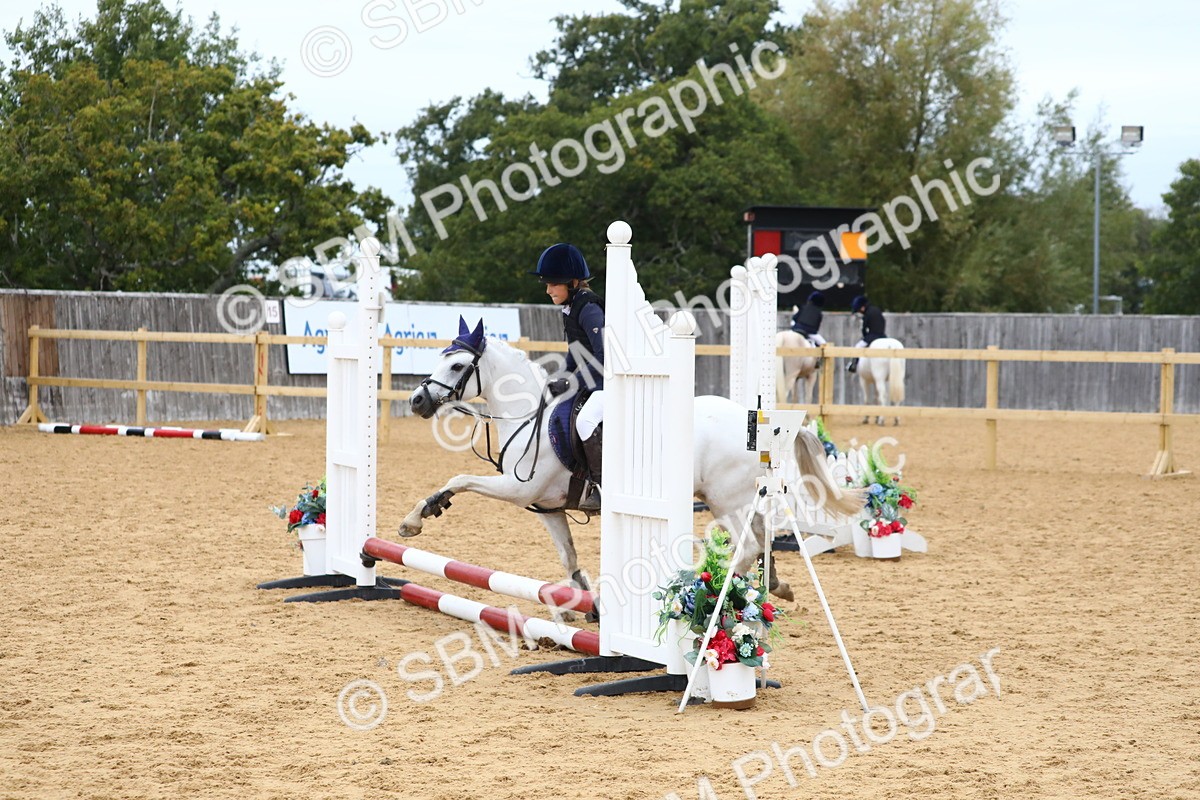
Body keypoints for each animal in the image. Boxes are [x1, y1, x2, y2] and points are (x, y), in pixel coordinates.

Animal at [401, 319, 863, 609]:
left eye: (457, 364)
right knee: (764, 537)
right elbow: (569, 560)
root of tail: (760, 425)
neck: (527, 414)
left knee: (748, 546)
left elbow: (460, 477)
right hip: (737, 498)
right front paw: (586, 605)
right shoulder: (548, 507)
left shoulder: (519, 490)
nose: (417, 401)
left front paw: (417, 517)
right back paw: (776, 586)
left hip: (724, 500)